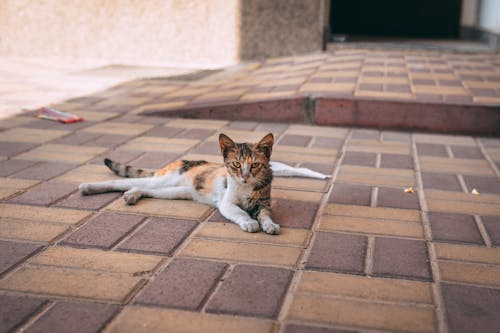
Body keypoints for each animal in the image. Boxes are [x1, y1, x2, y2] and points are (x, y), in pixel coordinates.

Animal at [79, 132, 328, 233]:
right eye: (236, 164)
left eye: (255, 165)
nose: (245, 176)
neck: (246, 187)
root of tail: (183, 161)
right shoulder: (227, 204)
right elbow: (240, 212)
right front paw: (249, 223)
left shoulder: (264, 203)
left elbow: (266, 215)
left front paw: (270, 225)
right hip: (166, 180)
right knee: (122, 181)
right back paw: (88, 187)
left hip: (176, 191)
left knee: (141, 187)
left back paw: (132, 195)